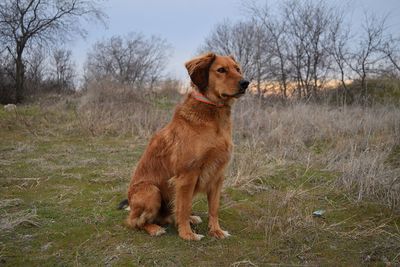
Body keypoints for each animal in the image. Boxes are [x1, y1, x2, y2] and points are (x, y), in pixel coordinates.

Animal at [122, 52, 248, 241]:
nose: (246, 83)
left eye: (238, 69)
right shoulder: (187, 175)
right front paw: (187, 234)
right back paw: (154, 228)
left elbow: (214, 208)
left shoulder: (217, 175)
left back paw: (191, 219)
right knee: (135, 221)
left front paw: (216, 231)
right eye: (221, 70)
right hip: (151, 191)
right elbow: (184, 207)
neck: (213, 117)